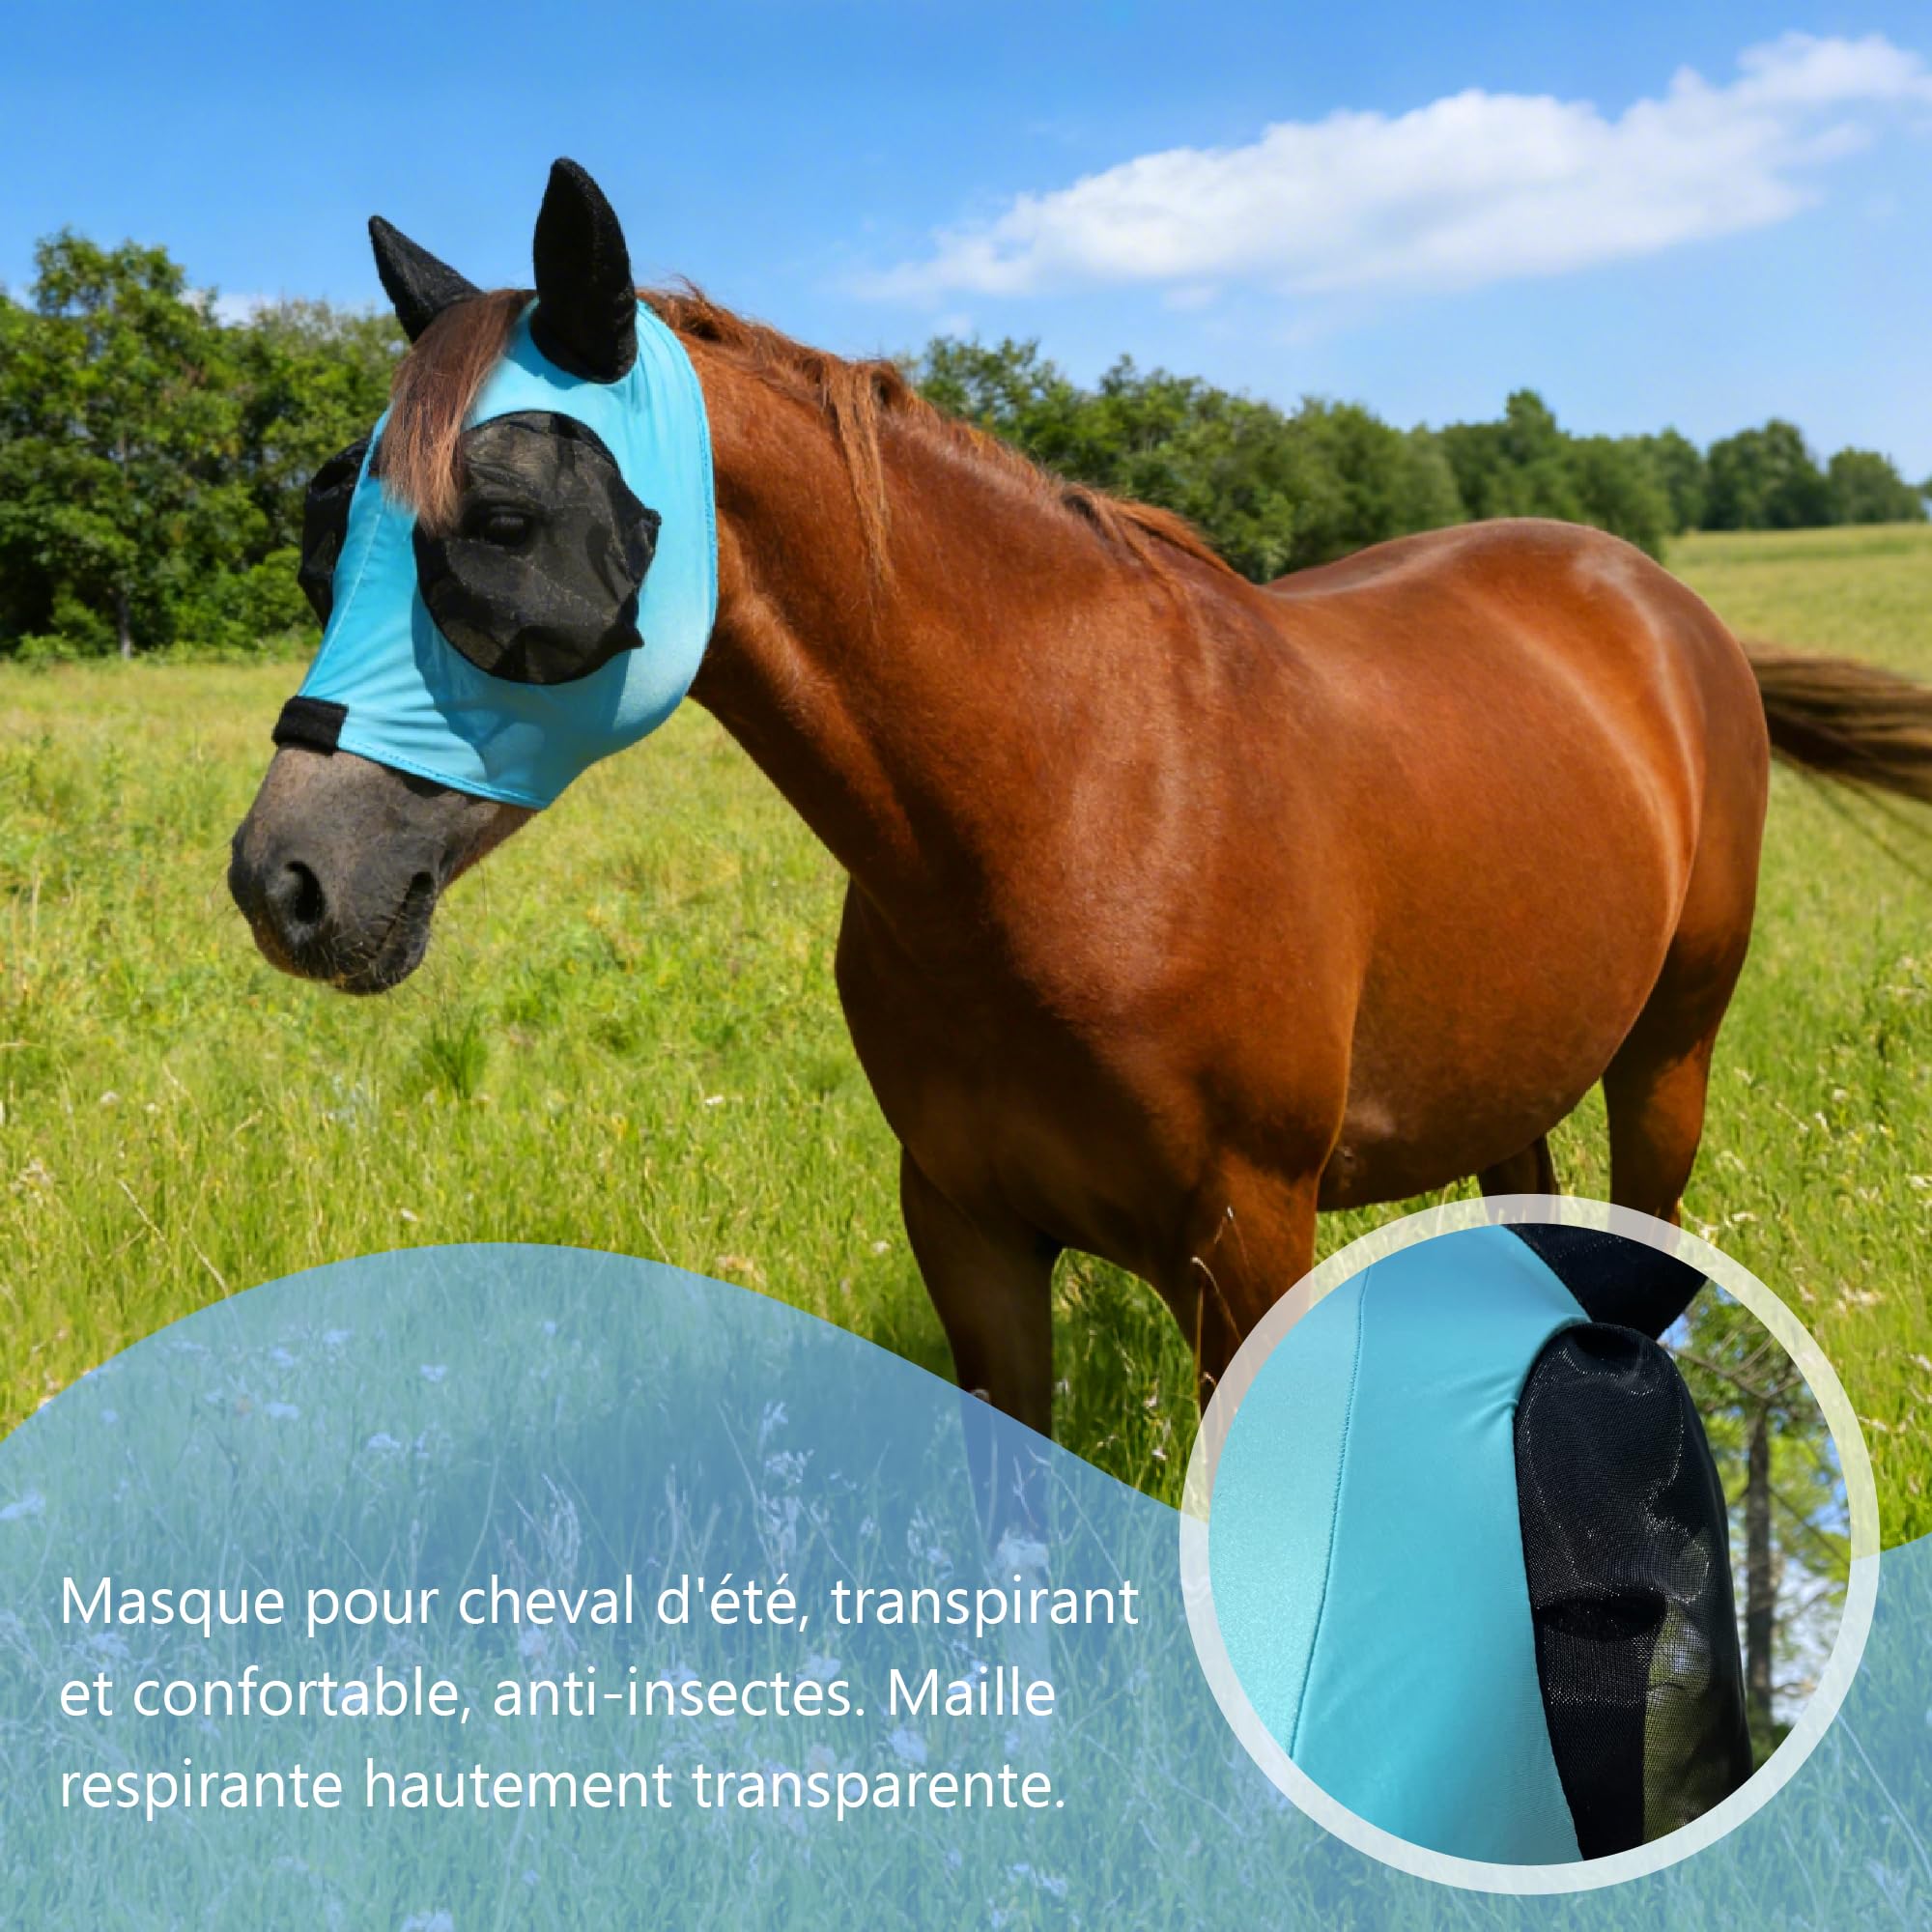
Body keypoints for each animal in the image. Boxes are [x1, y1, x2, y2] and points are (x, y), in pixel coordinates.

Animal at [230, 160, 1932, 1444]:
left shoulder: (1246, 1240)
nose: (284, 879)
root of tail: (1662, 603)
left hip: (1668, 1057)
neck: (1070, 803)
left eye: (501, 522)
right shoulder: (972, 1235)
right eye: (324, 536)